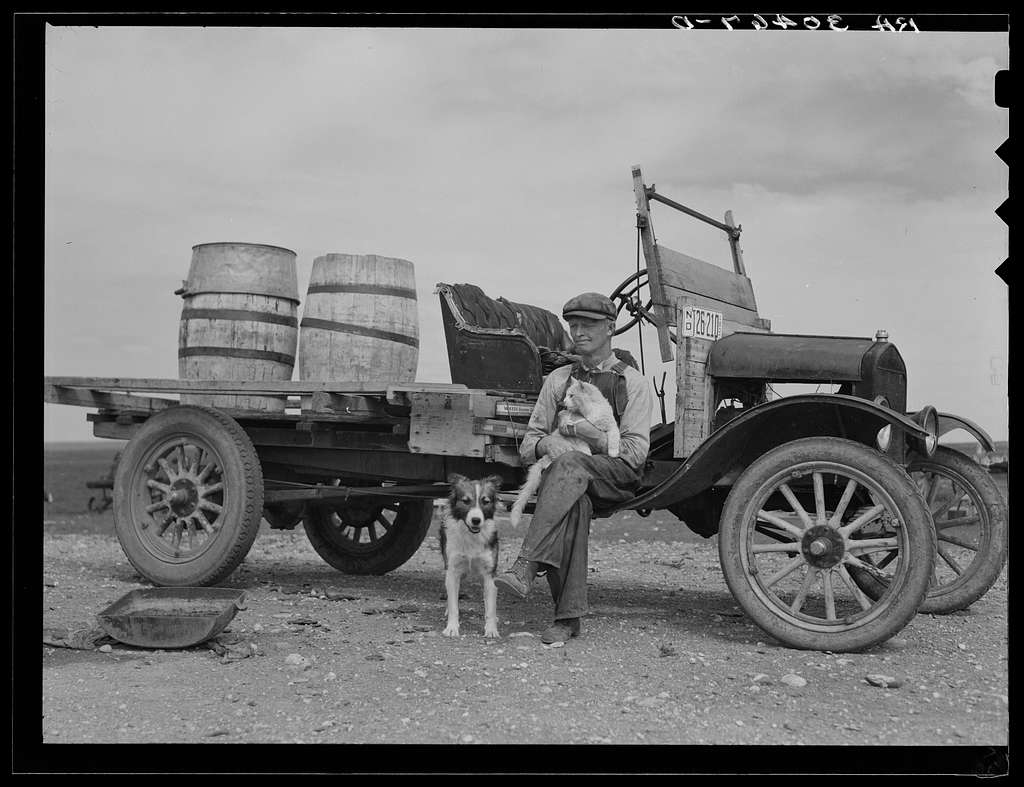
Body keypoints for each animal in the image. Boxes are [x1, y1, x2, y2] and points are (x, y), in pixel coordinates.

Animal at [440, 472, 503, 638]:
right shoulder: (453, 570)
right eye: (466, 501)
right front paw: (452, 627)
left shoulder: (489, 574)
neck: (471, 536)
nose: (476, 520)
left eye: (485, 501)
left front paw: (491, 629)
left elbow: (490, 608)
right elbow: (454, 604)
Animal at [509, 376, 618, 523]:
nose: (564, 402)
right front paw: (589, 454)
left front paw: (613, 453)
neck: (590, 410)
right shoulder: (579, 437)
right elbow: (585, 447)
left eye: (571, 395)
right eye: (566, 395)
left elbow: (614, 437)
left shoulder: (610, 425)